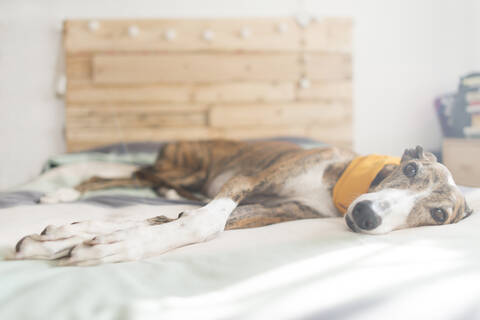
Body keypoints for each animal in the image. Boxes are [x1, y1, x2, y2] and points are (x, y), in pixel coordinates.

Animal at [13, 140, 470, 264]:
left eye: (438, 214)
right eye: (410, 169)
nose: (365, 214)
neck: (335, 184)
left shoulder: (270, 210)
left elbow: (168, 218)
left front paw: (74, 235)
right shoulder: (247, 179)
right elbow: (202, 222)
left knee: (152, 187)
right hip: (186, 168)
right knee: (116, 175)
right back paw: (60, 191)